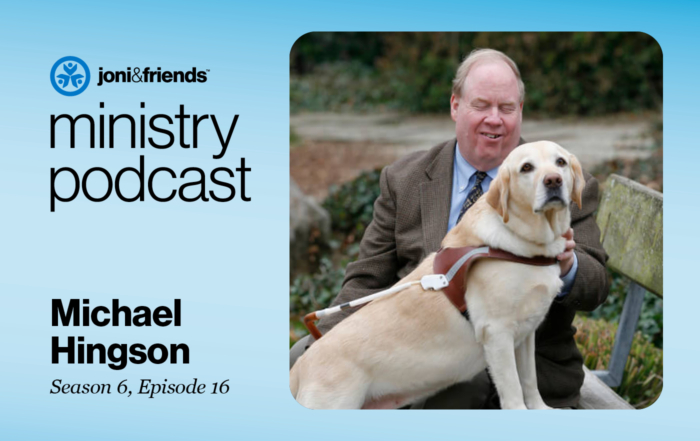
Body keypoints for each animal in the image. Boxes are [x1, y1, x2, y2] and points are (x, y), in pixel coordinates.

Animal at [290, 141, 584, 410]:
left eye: (560, 162)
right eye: (526, 168)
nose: (553, 180)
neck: (526, 244)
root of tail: (299, 369)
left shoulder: (526, 333)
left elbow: (530, 381)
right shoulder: (498, 333)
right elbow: (513, 390)